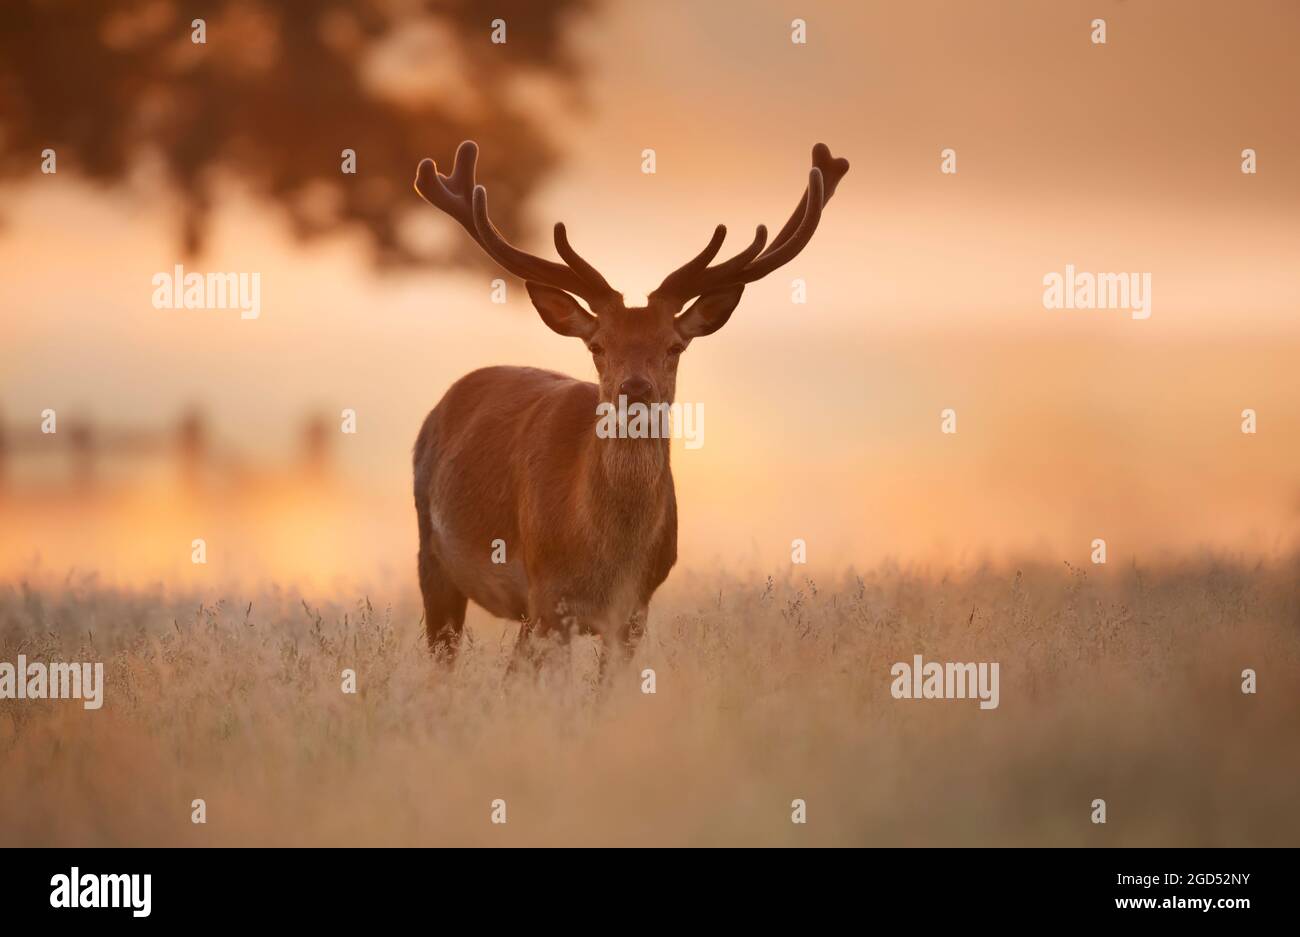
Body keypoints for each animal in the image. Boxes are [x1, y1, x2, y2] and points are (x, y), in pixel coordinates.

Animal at [410, 139, 847, 670]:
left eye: (674, 346)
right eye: (598, 345)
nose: (634, 389)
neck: (605, 557)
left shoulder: (635, 609)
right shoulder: (546, 599)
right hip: (432, 557)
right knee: (445, 657)